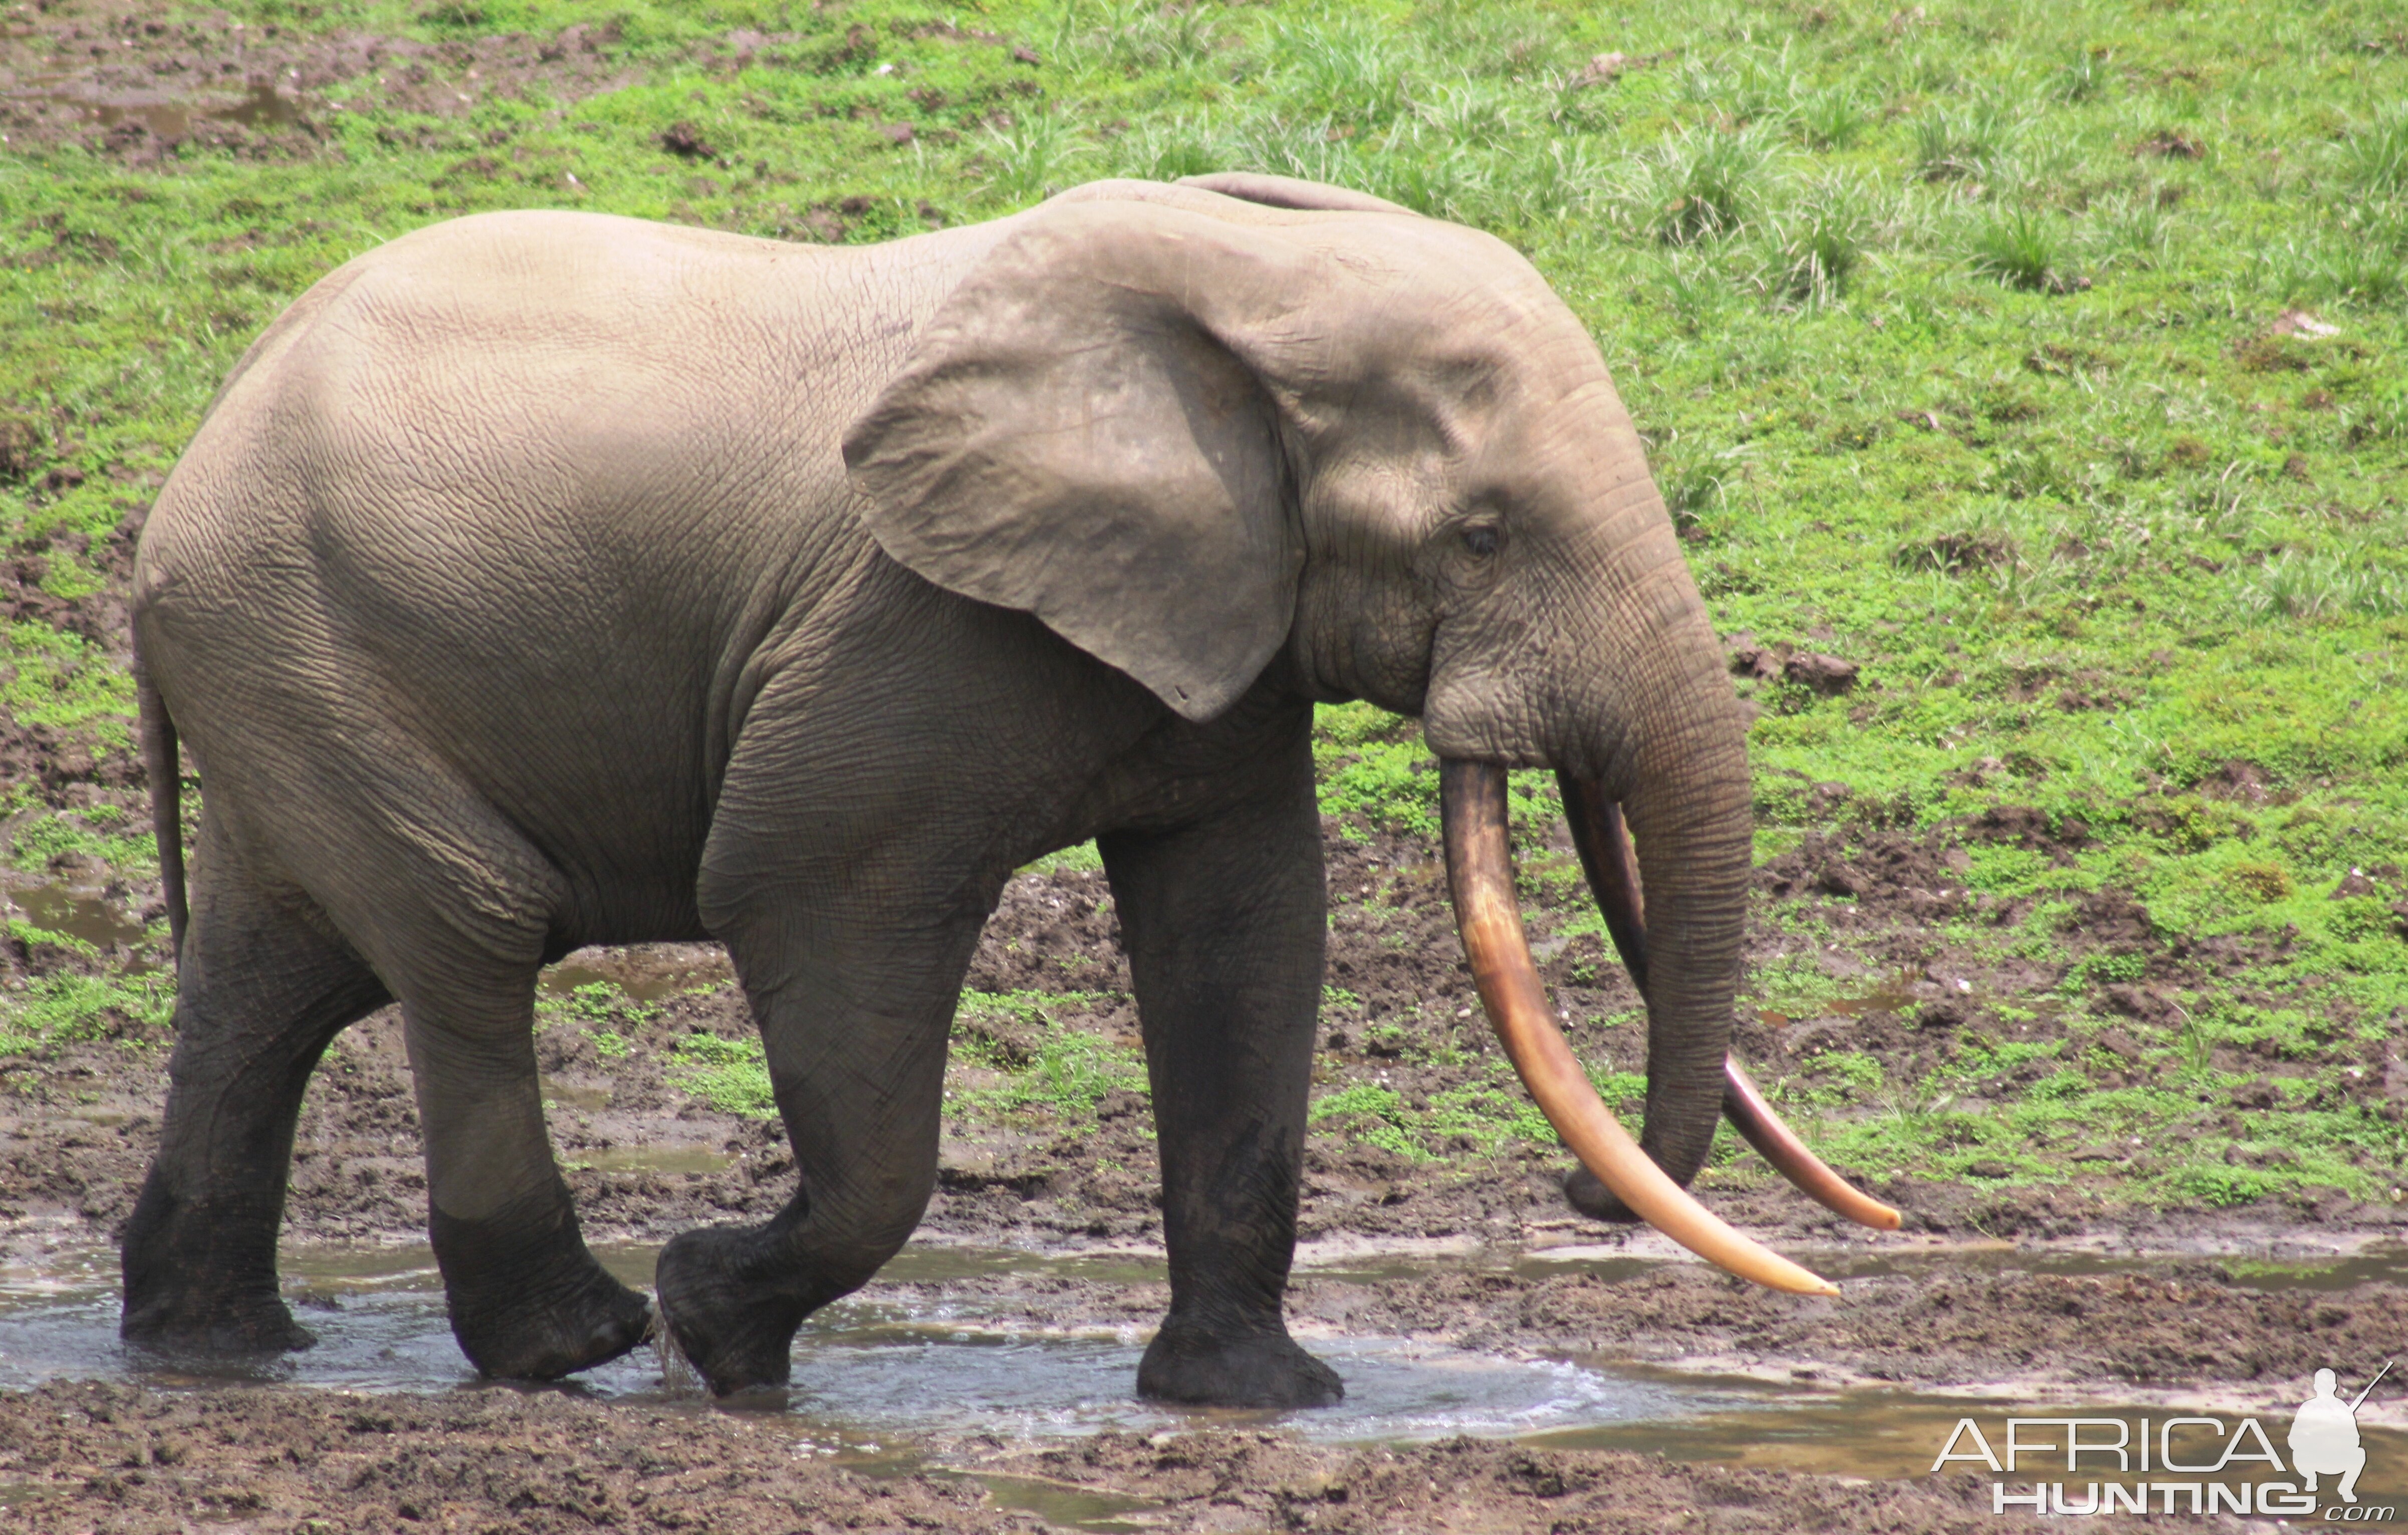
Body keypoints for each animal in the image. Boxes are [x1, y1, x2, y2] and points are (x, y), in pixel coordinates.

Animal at [122, 174, 1897, 1414]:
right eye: (1478, 536)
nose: (1576, 1194)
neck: (1238, 288)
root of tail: (192, 456)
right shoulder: (906, 625)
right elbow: (801, 888)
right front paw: (714, 1330)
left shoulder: (1220, 625)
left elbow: (1246, 926)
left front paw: (1262, 1403)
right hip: (301, 637)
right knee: (468, 932)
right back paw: (575, 1343)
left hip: (289, 662)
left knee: (277, 978)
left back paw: (211, 1349)